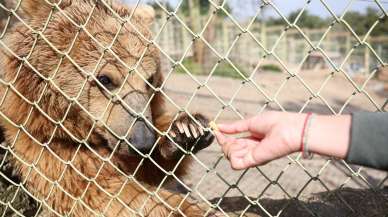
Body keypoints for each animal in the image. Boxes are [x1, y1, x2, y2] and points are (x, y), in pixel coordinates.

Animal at [0, 0, 215, 215]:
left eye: (150, 80)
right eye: (105, 79)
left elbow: (147, 167)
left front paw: (188, 130)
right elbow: (102, 192)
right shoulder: (44, 145)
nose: (143, 143)